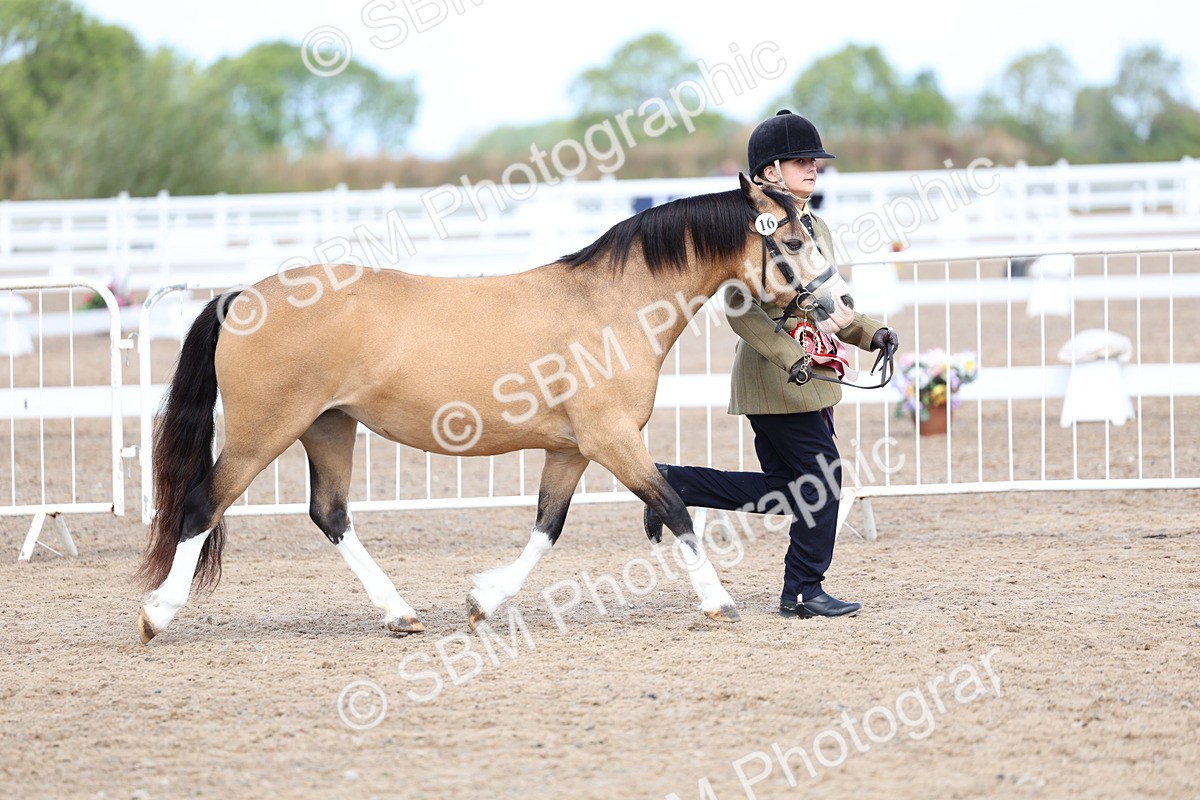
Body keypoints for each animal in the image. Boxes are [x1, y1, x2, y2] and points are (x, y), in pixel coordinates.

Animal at [135, 174, 858, 643]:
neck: (611, 305)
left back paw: (399, 613)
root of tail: (241, 297)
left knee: (331, 515)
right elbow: (675, 509)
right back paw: (157, 613)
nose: (840, 306)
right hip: (264, 431)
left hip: (328, 428)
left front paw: (483, 600)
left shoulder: (572, 448)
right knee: (202, 505)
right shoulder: (613, 439)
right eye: (794, 243)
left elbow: (547, 526)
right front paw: (718, 602)